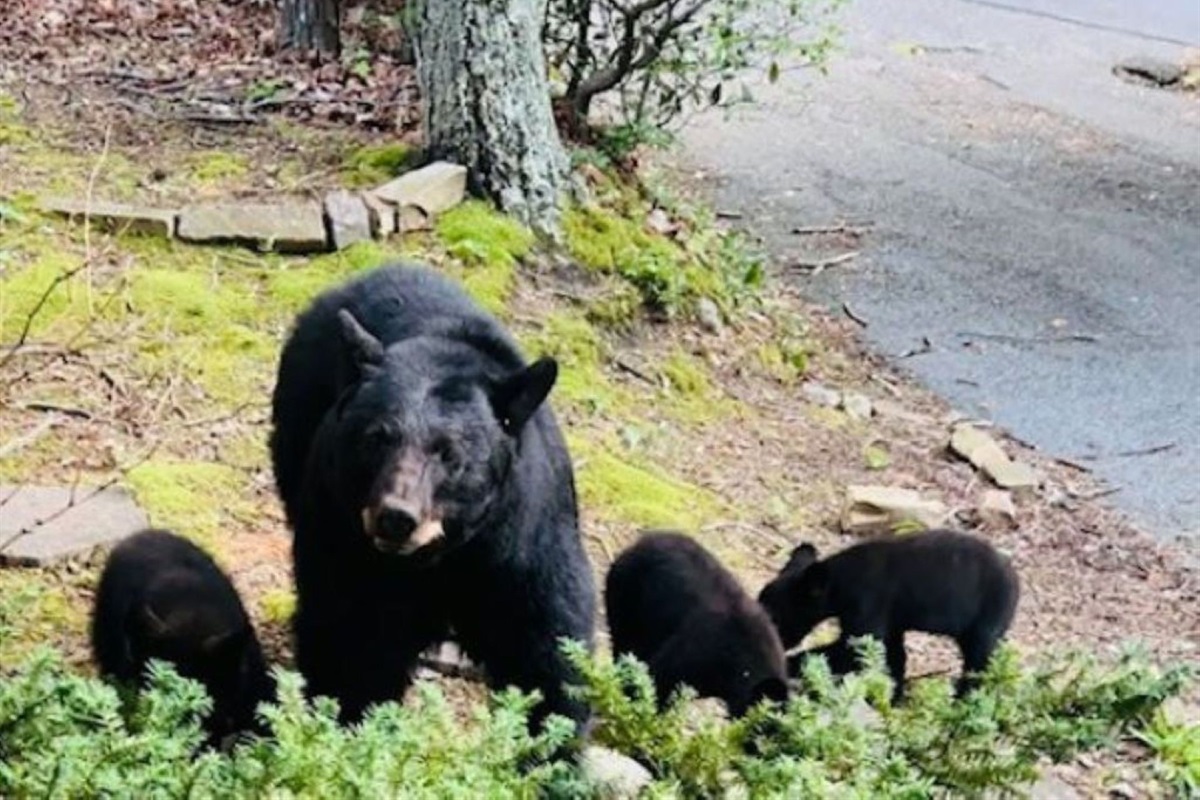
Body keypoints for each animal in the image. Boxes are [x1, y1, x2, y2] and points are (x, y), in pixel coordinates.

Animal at [269, 263, 595, 732]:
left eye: (450, 453)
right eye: (377, 438)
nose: (396, 517)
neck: (442, 558)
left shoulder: (522, 544)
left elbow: (545, 644)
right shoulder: (344, 537)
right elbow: (350, 636)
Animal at [757, 528, 1020, 700]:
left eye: (776, 619)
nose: (778, 644)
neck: (840, 584)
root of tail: (1016, 582)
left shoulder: (869, 604)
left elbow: (854, 650)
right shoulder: (893, 621)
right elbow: (893, 655)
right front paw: (892, 695)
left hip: (989, 614)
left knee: (980, 659)